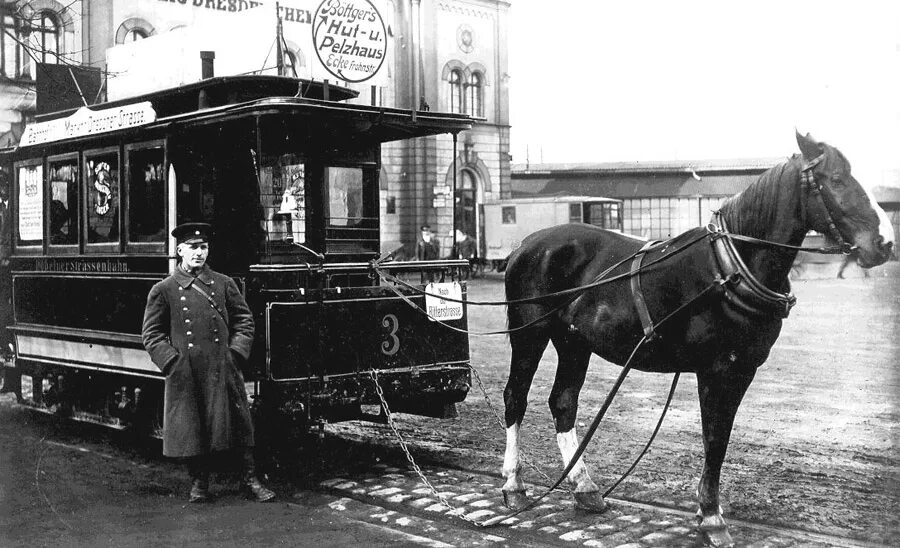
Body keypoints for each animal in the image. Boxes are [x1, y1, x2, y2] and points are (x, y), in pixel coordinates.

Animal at [500, 131, 892, 544]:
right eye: (836, 179)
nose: (884, 243)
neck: (729, 266)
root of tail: (526, 245)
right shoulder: (716, 369)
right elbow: (714, 439)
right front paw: (712, 517)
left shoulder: (743, 369)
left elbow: (719, 439)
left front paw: (708, 511)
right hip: (529, 335)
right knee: (515, 397)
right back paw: (514, 486)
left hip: (574, 343)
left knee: (563, 403)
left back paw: (584, 488)